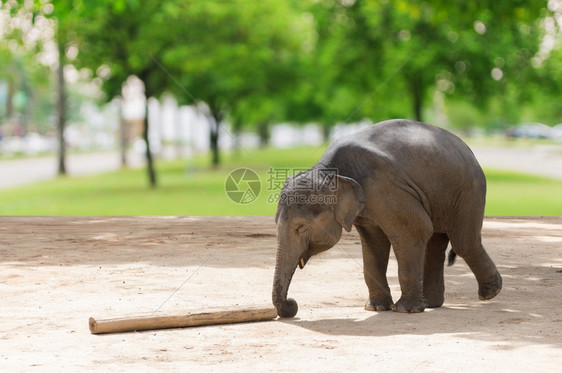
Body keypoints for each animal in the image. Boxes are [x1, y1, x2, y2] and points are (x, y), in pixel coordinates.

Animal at [270, 119, 498, 316]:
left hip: (468, 190)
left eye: (301, 227)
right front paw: (376, 308)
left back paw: (489, 294)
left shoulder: (388, 189)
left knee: (463, 243)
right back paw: (431, 303)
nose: (292, 305)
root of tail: (466, 147)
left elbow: (414, 231)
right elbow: (374, 243)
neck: (328, 172)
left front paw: (406, 310)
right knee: (436, 245)